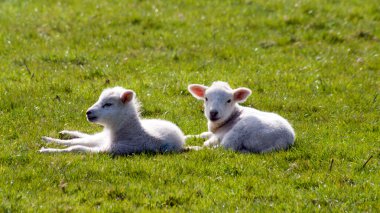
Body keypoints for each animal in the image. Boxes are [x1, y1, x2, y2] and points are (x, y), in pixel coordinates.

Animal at [39, 86, 186, 155]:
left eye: (108, 104)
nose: (88, 112)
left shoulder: (114, 149)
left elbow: (76, 148)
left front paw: (47, 150)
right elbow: (75, 143)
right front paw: (48, 145)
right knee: (83, 137)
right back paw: (59, 135)